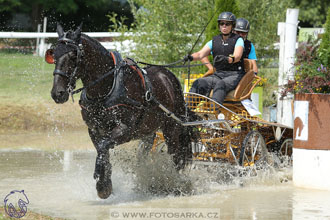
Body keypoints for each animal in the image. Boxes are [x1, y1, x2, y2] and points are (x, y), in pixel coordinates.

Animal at [45, 24, 192, 199]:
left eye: (74, 56)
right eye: (54, 55)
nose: (57, 93)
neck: (106, 87)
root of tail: (169, 76)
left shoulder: (125, 129)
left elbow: (103, 147)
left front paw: (101, 181)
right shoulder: (94, 130)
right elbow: (102, 150)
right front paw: (105, 184)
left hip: (172, 128)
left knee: (177, 156)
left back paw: (176, 184)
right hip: (148, 131)